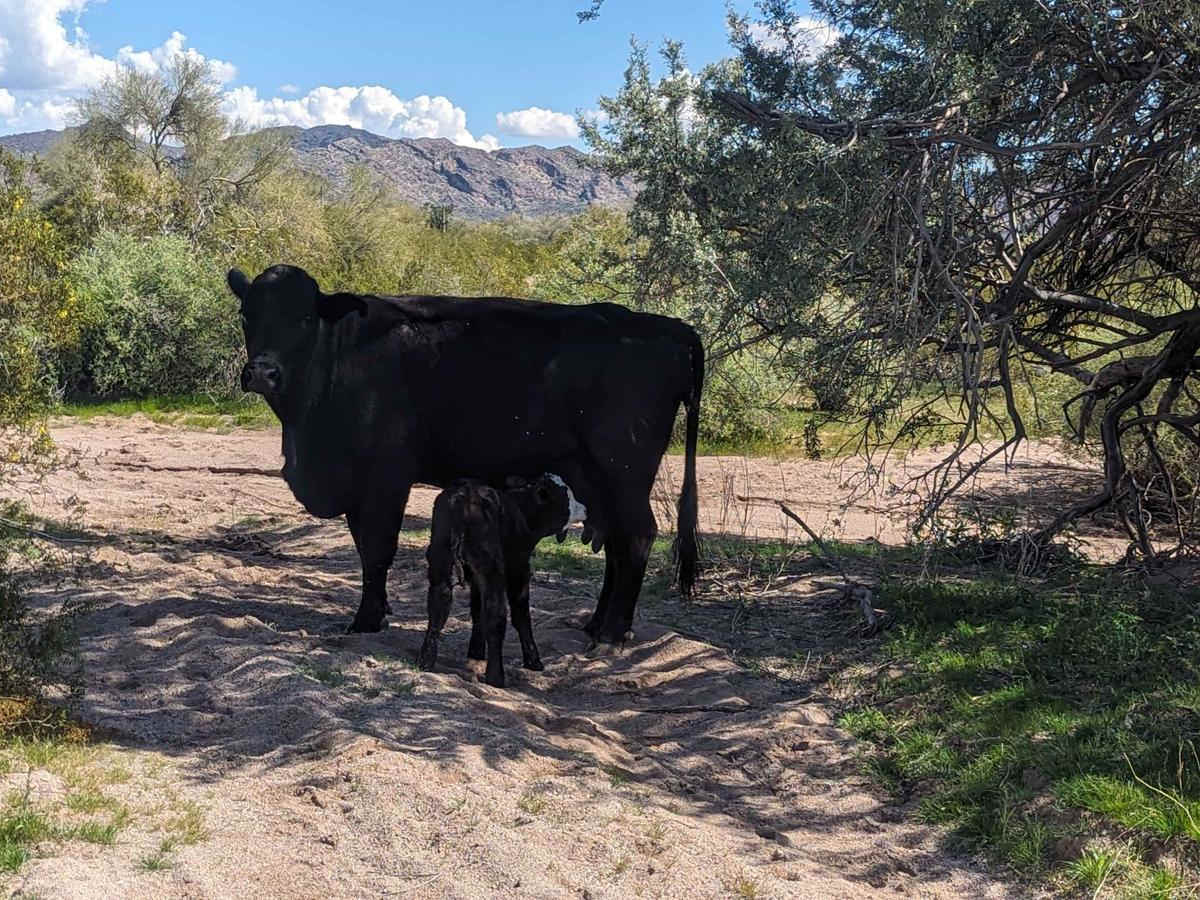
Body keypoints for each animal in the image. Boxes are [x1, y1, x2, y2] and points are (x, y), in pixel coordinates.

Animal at [227, 264, 702, 645]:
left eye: (305, 317)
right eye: (247, 314)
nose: (263, 373)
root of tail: (669, 328)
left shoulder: (386, 477)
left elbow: (378, 549)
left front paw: (365, 621)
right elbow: (363, 548)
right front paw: (375, 613)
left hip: (624, 471)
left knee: (637, 536)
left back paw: (612, 633)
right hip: (593, 475)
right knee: (618, 544)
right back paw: (597, 624)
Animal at [419, 474, 582, 687]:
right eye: (566, 496)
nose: (585, 508)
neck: (523, 513)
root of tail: (464, 496)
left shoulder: (476, 576)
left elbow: (477, 611)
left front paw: (476, 655)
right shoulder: (519, 567)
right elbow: (520, 613)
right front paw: (533, 661)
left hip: (441, 558)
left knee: (439, 604)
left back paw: (426, 661)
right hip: (492, 567)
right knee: (495, 614)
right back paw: (496, 677)